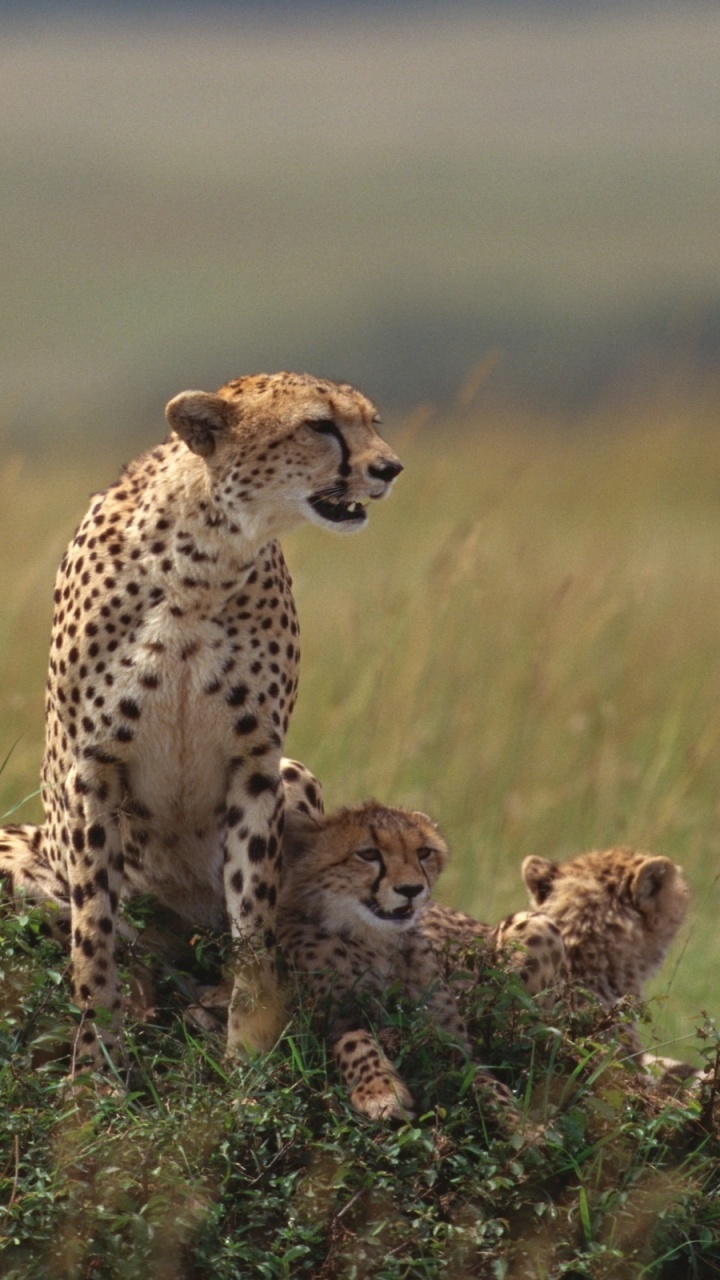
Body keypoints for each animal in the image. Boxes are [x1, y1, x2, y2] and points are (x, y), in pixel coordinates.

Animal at [0, 372, 402, 1073]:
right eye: (319, 425)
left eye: (371, 421)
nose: (389, 467)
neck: (204, 563)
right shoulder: (93, 768)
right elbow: (93, 930)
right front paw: (97, 1066)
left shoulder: (256, 764)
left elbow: (253, 915)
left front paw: (249, 1051)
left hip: (296, 776)